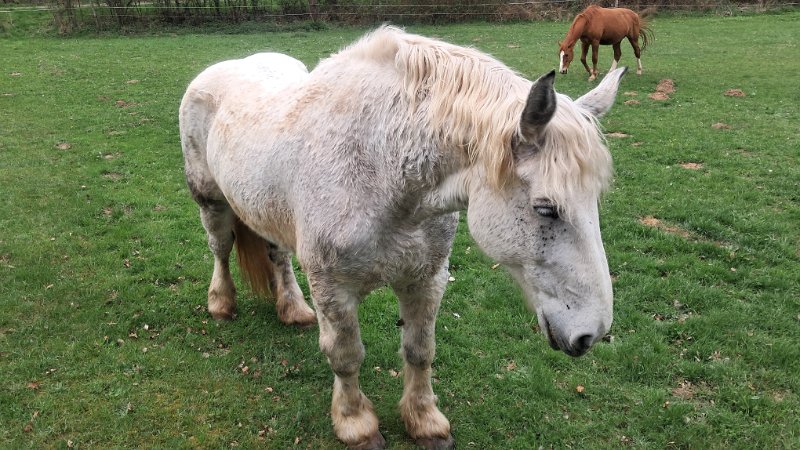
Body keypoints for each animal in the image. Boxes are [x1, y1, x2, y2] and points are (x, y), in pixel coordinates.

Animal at [179, 26, 626, 450]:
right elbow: (345, 356)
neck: (379, 166)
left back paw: (293, 309)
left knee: (277, 255)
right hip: (210, 201)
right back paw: (221, 303)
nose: (591, 333)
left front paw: (425, 422)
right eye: (546, 209)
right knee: (220, 249)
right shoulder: (332, 289)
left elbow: (419, 350)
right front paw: (356, 425)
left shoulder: (426, 279)